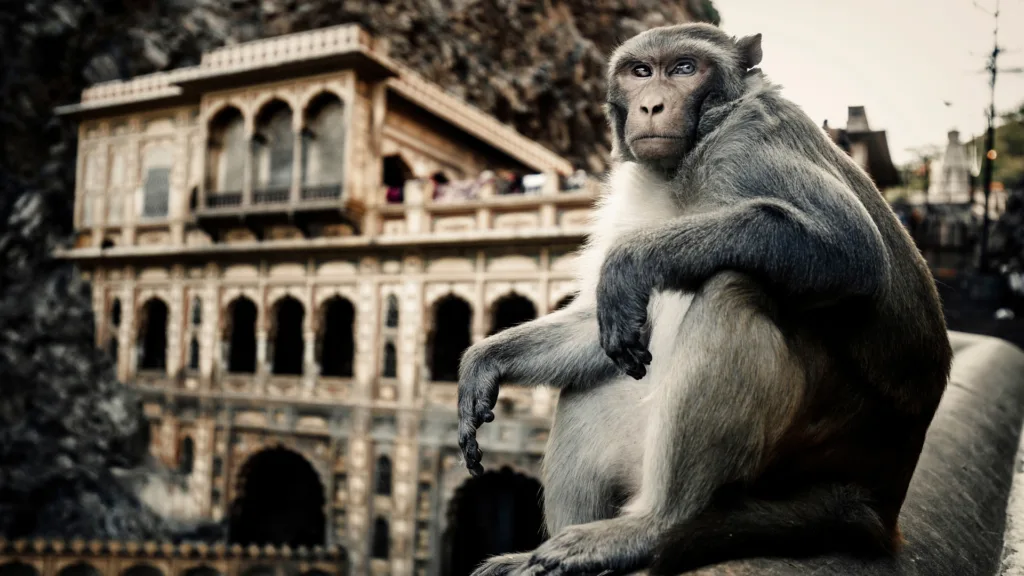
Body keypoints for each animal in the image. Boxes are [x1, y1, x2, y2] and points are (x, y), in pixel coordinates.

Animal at [456, 22, 952, 576]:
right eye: (641, 71)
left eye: (685, 69)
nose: (651, 104)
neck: (687, 161)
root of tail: (880, 501)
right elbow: (603, 329)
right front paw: (484, 362)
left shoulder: (752, 141)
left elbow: (852, 250)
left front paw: (628, 263)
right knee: (592, 379)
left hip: (821, 441)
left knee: (734, 287)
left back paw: (652, 527)